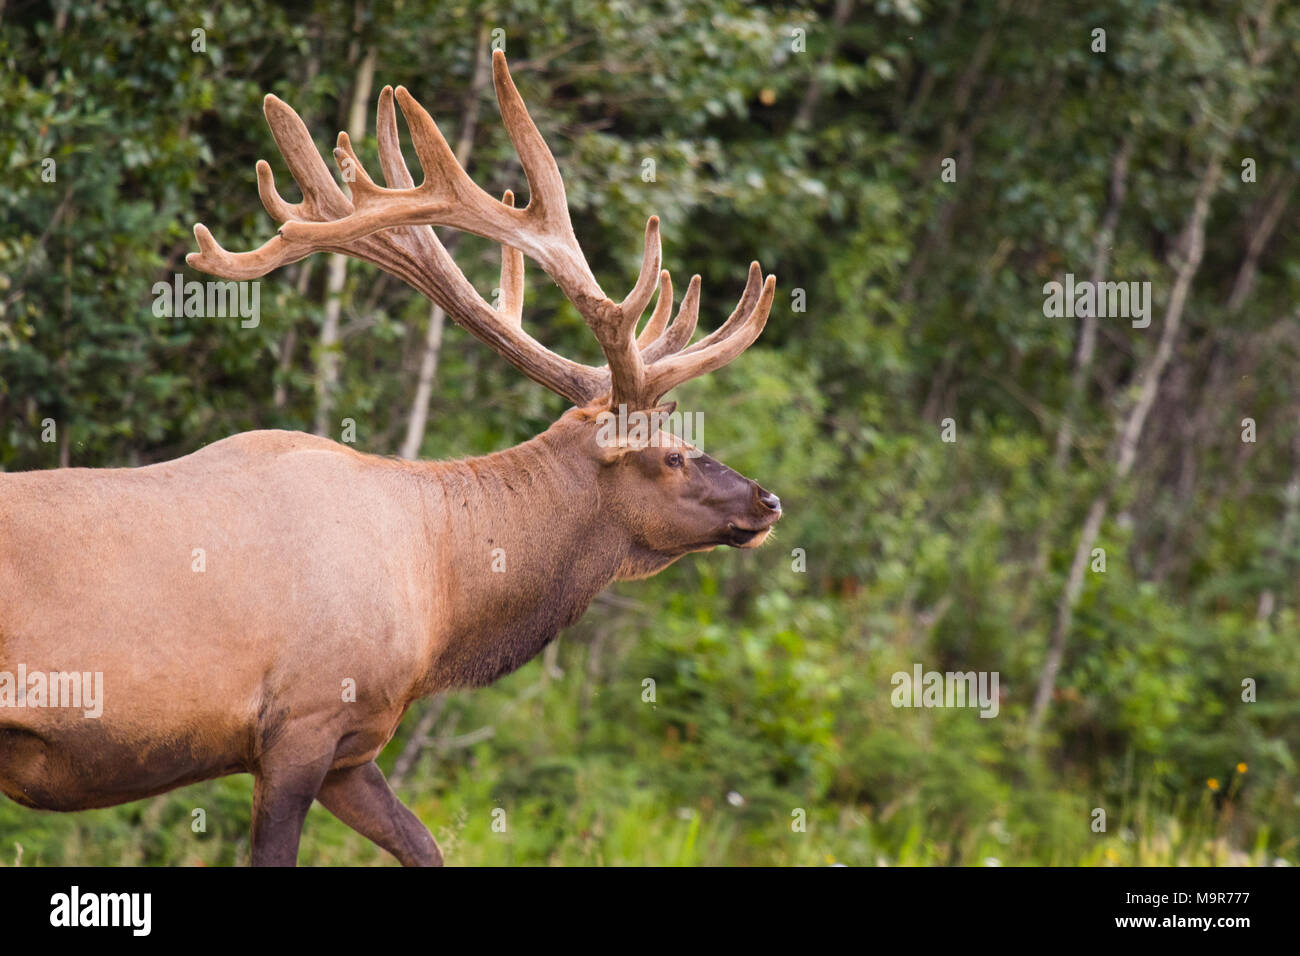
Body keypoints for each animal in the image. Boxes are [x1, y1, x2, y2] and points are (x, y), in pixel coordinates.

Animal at [0, 52, 774, 868]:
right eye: (673, 455)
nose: (766, 500)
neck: (441, 596)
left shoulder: (353, 749)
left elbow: (424, 844)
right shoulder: (301, 719)